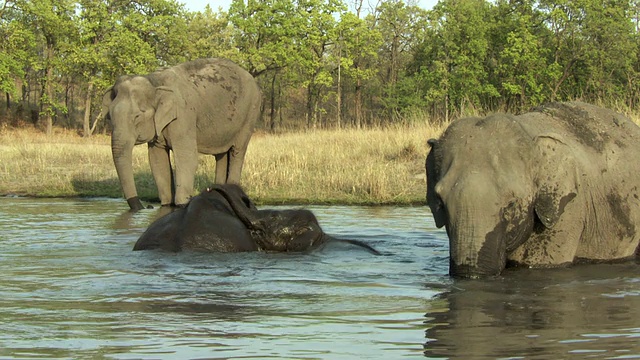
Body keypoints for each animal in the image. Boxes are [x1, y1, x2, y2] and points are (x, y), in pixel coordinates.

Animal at [102, 58, 260, 211]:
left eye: (137, 116)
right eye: (109, 116)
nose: (147, 206)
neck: (155, 81)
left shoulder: (184, 116)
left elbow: (187, 157)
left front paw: (182, 204)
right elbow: (157, 160)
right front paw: (166, 205)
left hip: (250, 113)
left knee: (237, 152)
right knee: (221, 155)